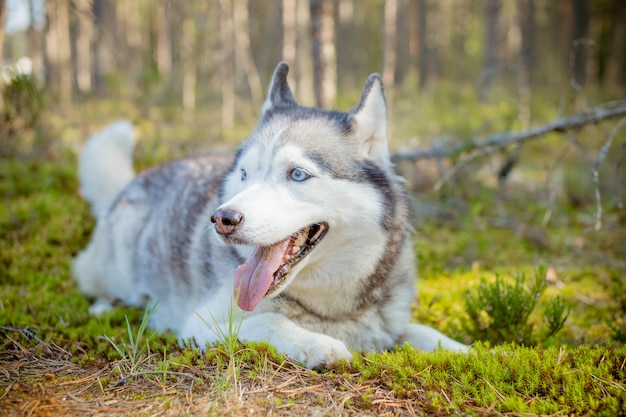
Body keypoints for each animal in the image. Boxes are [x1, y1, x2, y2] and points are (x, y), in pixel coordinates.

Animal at [73, 61, 466, 368]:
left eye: (297, 174)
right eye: (245, 174)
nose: (222, 219)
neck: (329, 311)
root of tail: (131, 181)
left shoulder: (388, 325)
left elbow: (423, 332)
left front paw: (467, 350)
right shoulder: (201, 326)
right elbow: (270, 322)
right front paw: (319, 344)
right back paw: (105, 308)